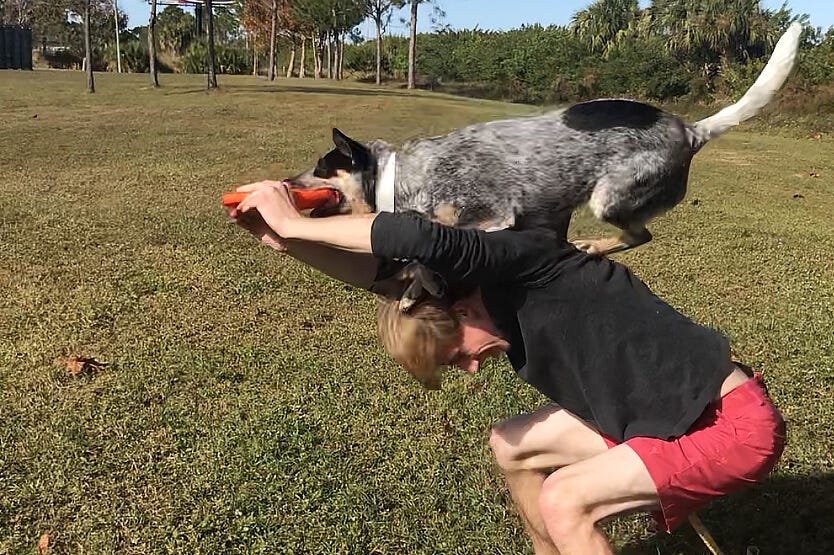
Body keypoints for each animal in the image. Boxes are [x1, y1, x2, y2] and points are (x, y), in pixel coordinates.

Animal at [284, 23, 800, 304]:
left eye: (321, 167)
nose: (287, 181)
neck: (400, 175)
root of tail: (693, 130)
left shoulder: (490, 218)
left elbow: (435, 253)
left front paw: (423, 283)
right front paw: (415, 291)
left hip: (609, 198)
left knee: (639, 235)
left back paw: (594, 245)